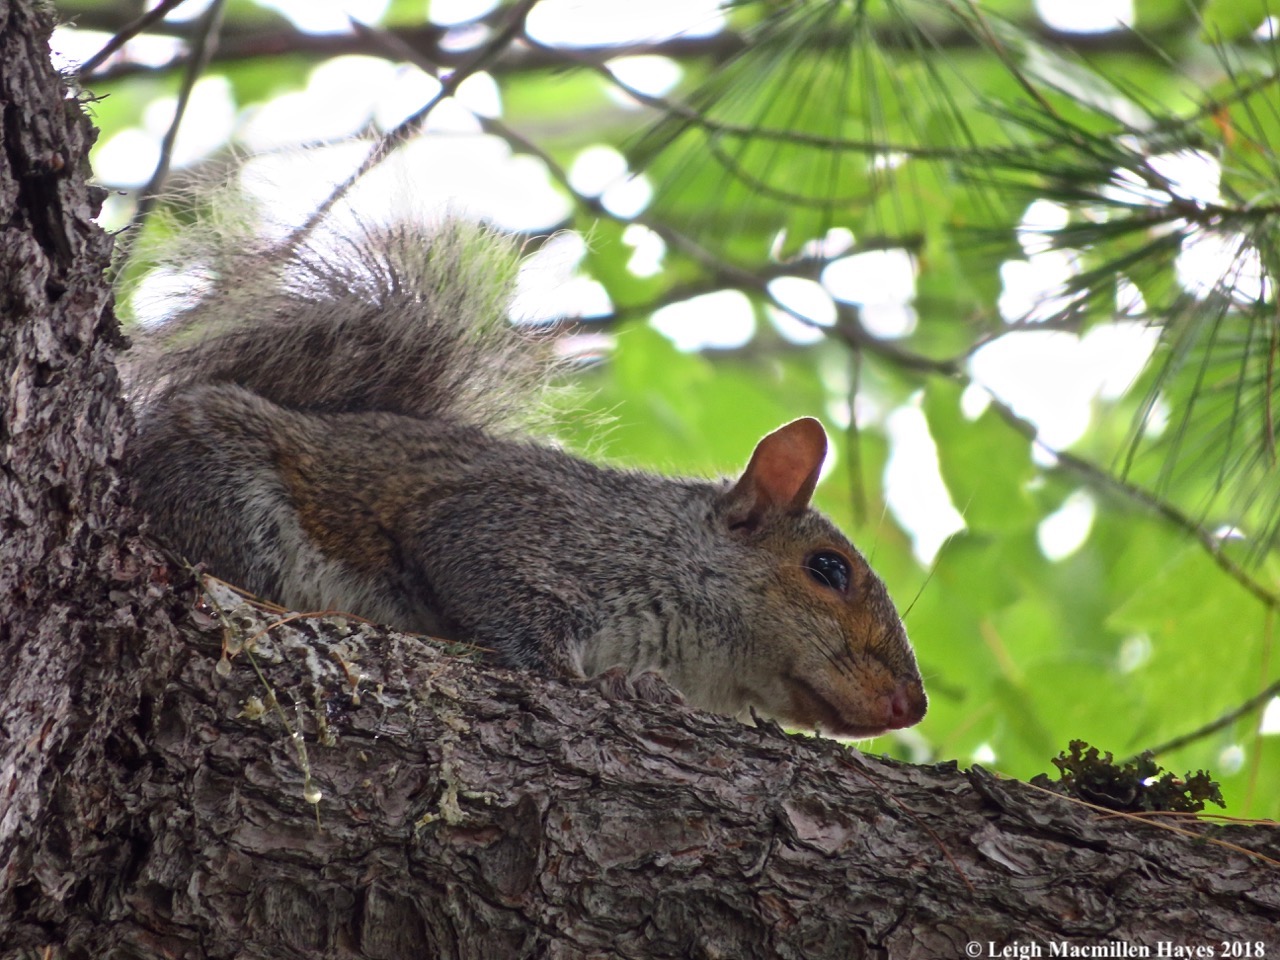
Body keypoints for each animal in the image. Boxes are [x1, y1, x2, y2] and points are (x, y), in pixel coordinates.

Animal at [129, 220, 927, 738]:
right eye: (829, 569)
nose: (910, 708)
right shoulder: (517, 522)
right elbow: (494, 589)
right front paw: (595, 683)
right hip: (225, 492)